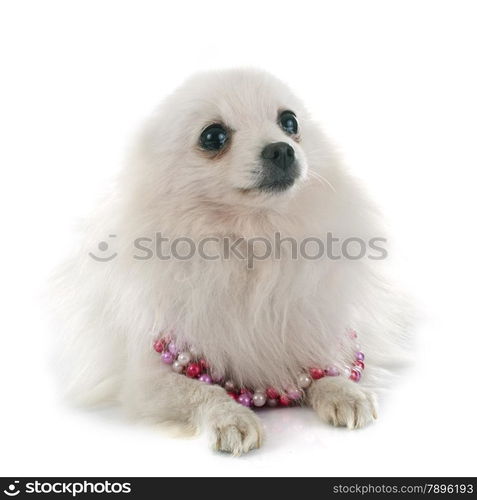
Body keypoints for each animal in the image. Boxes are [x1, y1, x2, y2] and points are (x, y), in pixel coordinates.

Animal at [52, 68, 410, 456]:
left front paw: (344, 391)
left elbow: (323, 366)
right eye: (213, 136)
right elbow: (200, 390)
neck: (252, 241)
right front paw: (231, 418)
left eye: (289, 122)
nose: (282, 149)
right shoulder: (146, 379)